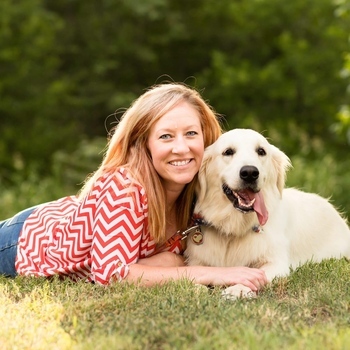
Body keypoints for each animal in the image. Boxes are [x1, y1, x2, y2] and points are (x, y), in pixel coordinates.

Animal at [185, 129, 348, 298]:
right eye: (228, 152)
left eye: (261, 151)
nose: (250, 172)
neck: (234, 228)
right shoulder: (196, 261)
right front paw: (195, 288)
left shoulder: (276, 264)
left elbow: (258, 274)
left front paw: (238, 289)